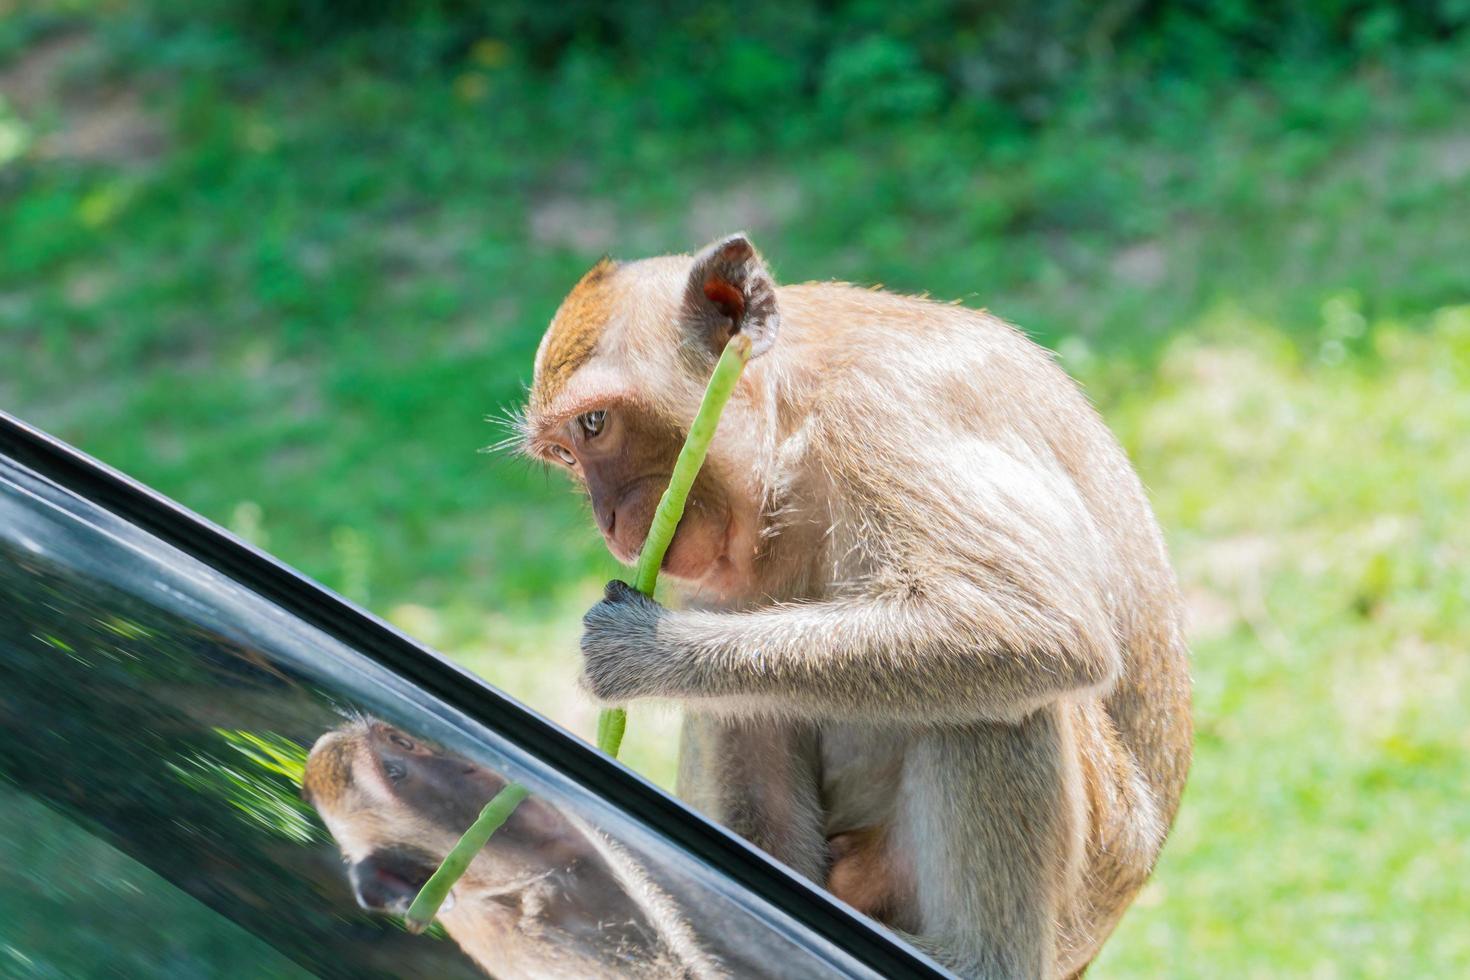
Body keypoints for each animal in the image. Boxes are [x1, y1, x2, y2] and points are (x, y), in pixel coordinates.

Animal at [517, 233, 1193, 975]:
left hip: (1097, 858)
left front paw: (637, 654)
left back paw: (978, 958)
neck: (794, 418)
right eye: (565, 454)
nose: (609, 522)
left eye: (595, 423)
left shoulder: (887, 412)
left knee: (1002, 705)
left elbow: (1028, 621)